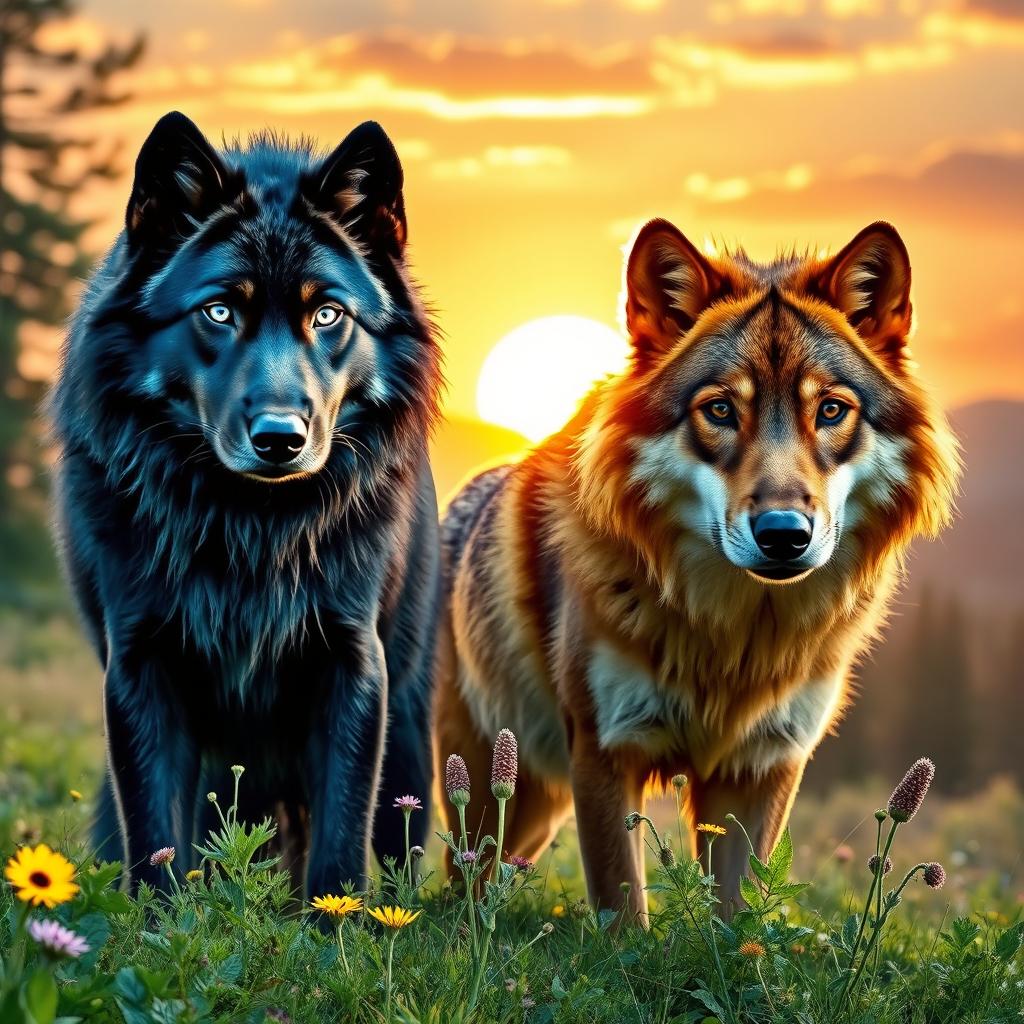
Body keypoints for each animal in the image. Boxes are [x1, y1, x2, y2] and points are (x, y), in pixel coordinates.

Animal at [49, 111, 442, 896]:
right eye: (220, 310)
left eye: (328, 314)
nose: (280, 439)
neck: (250, 530)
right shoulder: (139, 666)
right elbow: (156, 841)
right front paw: (163, 921)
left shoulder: (354, 663)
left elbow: (338, 845)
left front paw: (335, 925)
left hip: (411, 733)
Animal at [435, 218, 959, 919]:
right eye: (719, 411)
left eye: (830, 410)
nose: (784, 535)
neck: (733, 636)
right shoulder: (606, 751)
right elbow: (624, 913)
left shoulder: (762, 766)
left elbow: (741, 918)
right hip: (493, 781)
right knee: (457, 871)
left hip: (535, 802)